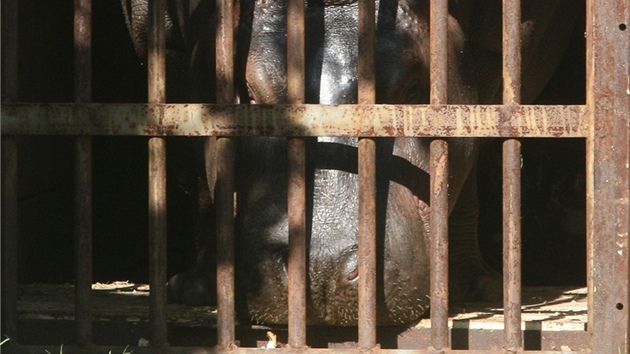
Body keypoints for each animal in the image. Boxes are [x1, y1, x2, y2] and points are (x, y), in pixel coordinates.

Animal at [122, 0, 584, 326]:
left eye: (414, 89)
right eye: (249, 94)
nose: (320, 268)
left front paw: (472, 284)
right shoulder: (169, 47)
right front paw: (197, 287)